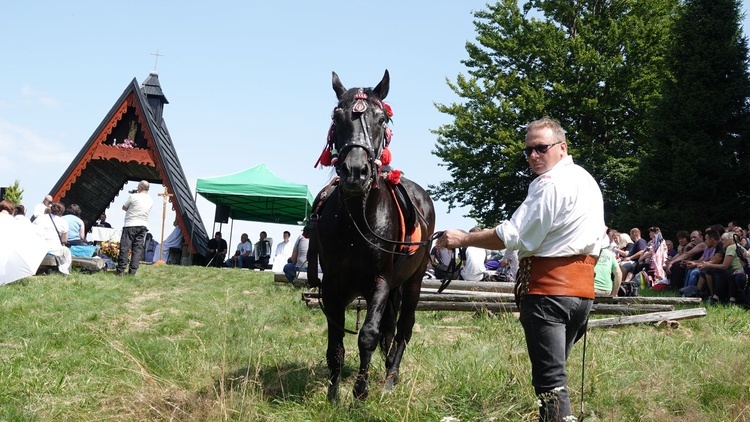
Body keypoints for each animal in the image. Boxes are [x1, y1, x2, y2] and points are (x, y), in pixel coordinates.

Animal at [306, 71, 434, 400]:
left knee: (403, 328)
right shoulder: (333, 286)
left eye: (381, 119)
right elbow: (335, 343)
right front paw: (333, 394)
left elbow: (368, 335)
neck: (357, 224)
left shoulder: (381, 282)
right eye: (336, 116)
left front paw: (360, 392)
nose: (355, 171)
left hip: (412, 283)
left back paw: (391, 377)